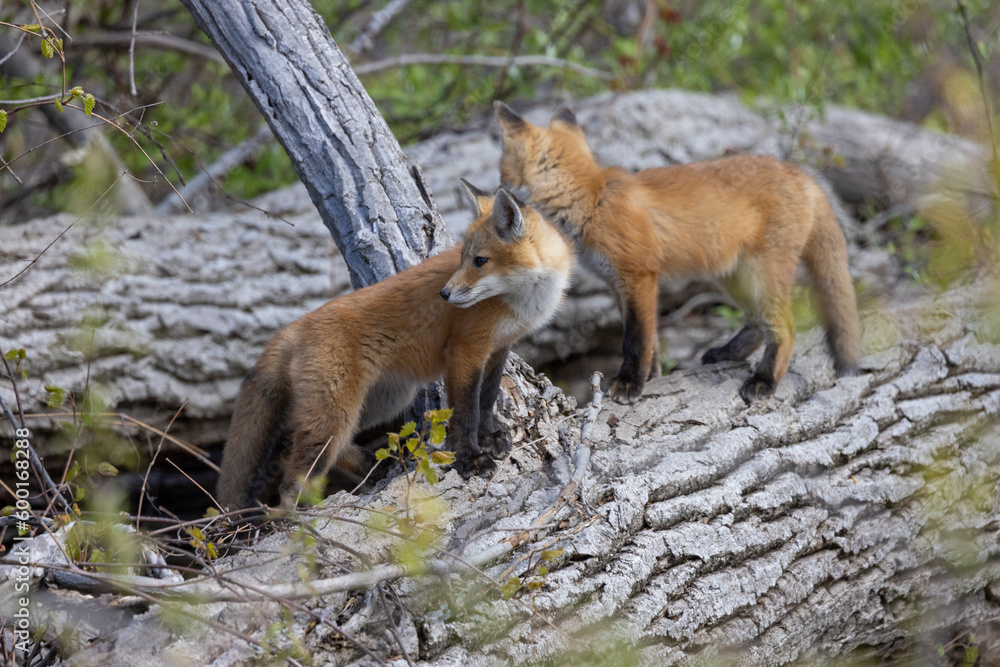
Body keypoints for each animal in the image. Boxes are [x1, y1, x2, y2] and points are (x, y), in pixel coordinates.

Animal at [220, 185, 576, 508]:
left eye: (480, 261)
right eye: (464, 258)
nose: (445, 294)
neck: (522, 303)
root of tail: (295, 325)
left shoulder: (498, 349)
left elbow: (486, 401)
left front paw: (488, 439)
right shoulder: (466, 351)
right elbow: (466, 413)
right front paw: (469, 459)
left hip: (380, 402)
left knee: (288, 443)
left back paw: (371, 465)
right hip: (336, 415)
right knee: (291, 483)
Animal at [494, 99, 860, 402]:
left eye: (501, 167)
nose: (496, 187)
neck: (591, 198)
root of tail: (801, 173)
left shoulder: (639, 276)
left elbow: (635, 340)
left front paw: (629, 384)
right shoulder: (618, 284)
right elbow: (650, 340)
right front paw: (650, 378)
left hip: (761, 274)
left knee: (784, 327)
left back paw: (765, 381)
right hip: (733, 277)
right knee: (758, 322)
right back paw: (728, 354)